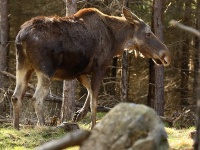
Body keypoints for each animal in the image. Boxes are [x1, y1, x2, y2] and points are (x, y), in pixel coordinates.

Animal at [11, 7, 170, 129]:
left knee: (16, 96)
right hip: (45, 70)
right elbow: (95, 102)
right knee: (36, 98)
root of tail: (20, 37)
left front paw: (79, 114)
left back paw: (16, 127)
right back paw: (43, 127)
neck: (116, 41)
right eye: (148, 34)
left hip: (22, 66)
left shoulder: (81, 72)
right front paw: (93, 126)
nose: (166, 55)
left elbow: (89, 92)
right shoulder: (100, 67)